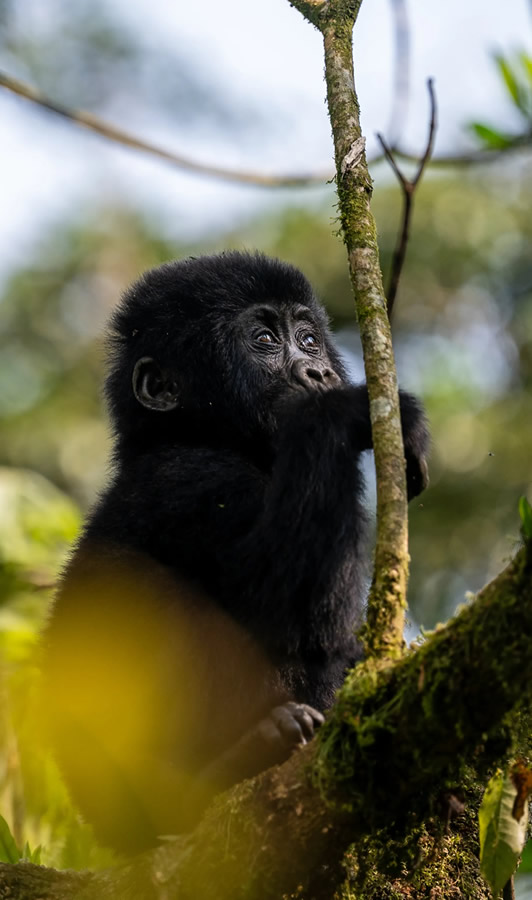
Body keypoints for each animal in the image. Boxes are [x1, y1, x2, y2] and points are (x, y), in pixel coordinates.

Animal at [43, 251, 430, 852]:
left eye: (309, 339)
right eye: (265, 339)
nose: (318, 373)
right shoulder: (190, 478)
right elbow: (287, 609)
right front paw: (340, 411)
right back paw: (213, 778)